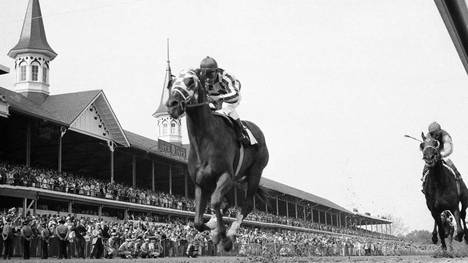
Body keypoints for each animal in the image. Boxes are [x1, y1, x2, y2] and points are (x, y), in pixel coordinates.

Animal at [165, 70, 268, 252]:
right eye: (171, 84)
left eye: (190, 81)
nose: (173, 104)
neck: (205, 141)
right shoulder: (201, 183)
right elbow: (198, 221)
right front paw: (213, 229)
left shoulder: (226, 175)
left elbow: (215, 201)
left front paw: (223, 237)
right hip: (239, 179)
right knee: (227, 202)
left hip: (255, 172)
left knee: (247, 204)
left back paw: (230, 234)